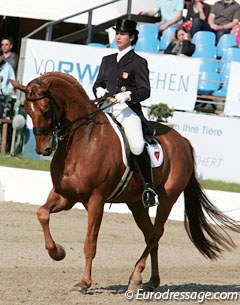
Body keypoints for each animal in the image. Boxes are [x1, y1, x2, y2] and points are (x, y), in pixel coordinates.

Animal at [11, 71, 240, 292]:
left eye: (45, 109)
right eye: (27, 110)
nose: (44, 149)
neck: (84, 139)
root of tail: (183, 141)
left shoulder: (96, 200)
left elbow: (90, 243)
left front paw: (84, 283)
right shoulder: (66, 196)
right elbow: (42, 213)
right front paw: (58, 252)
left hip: (168, 198)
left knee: (156, 233)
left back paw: (136, 277)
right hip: (136, 203)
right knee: (150, 235)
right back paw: (151, 281)